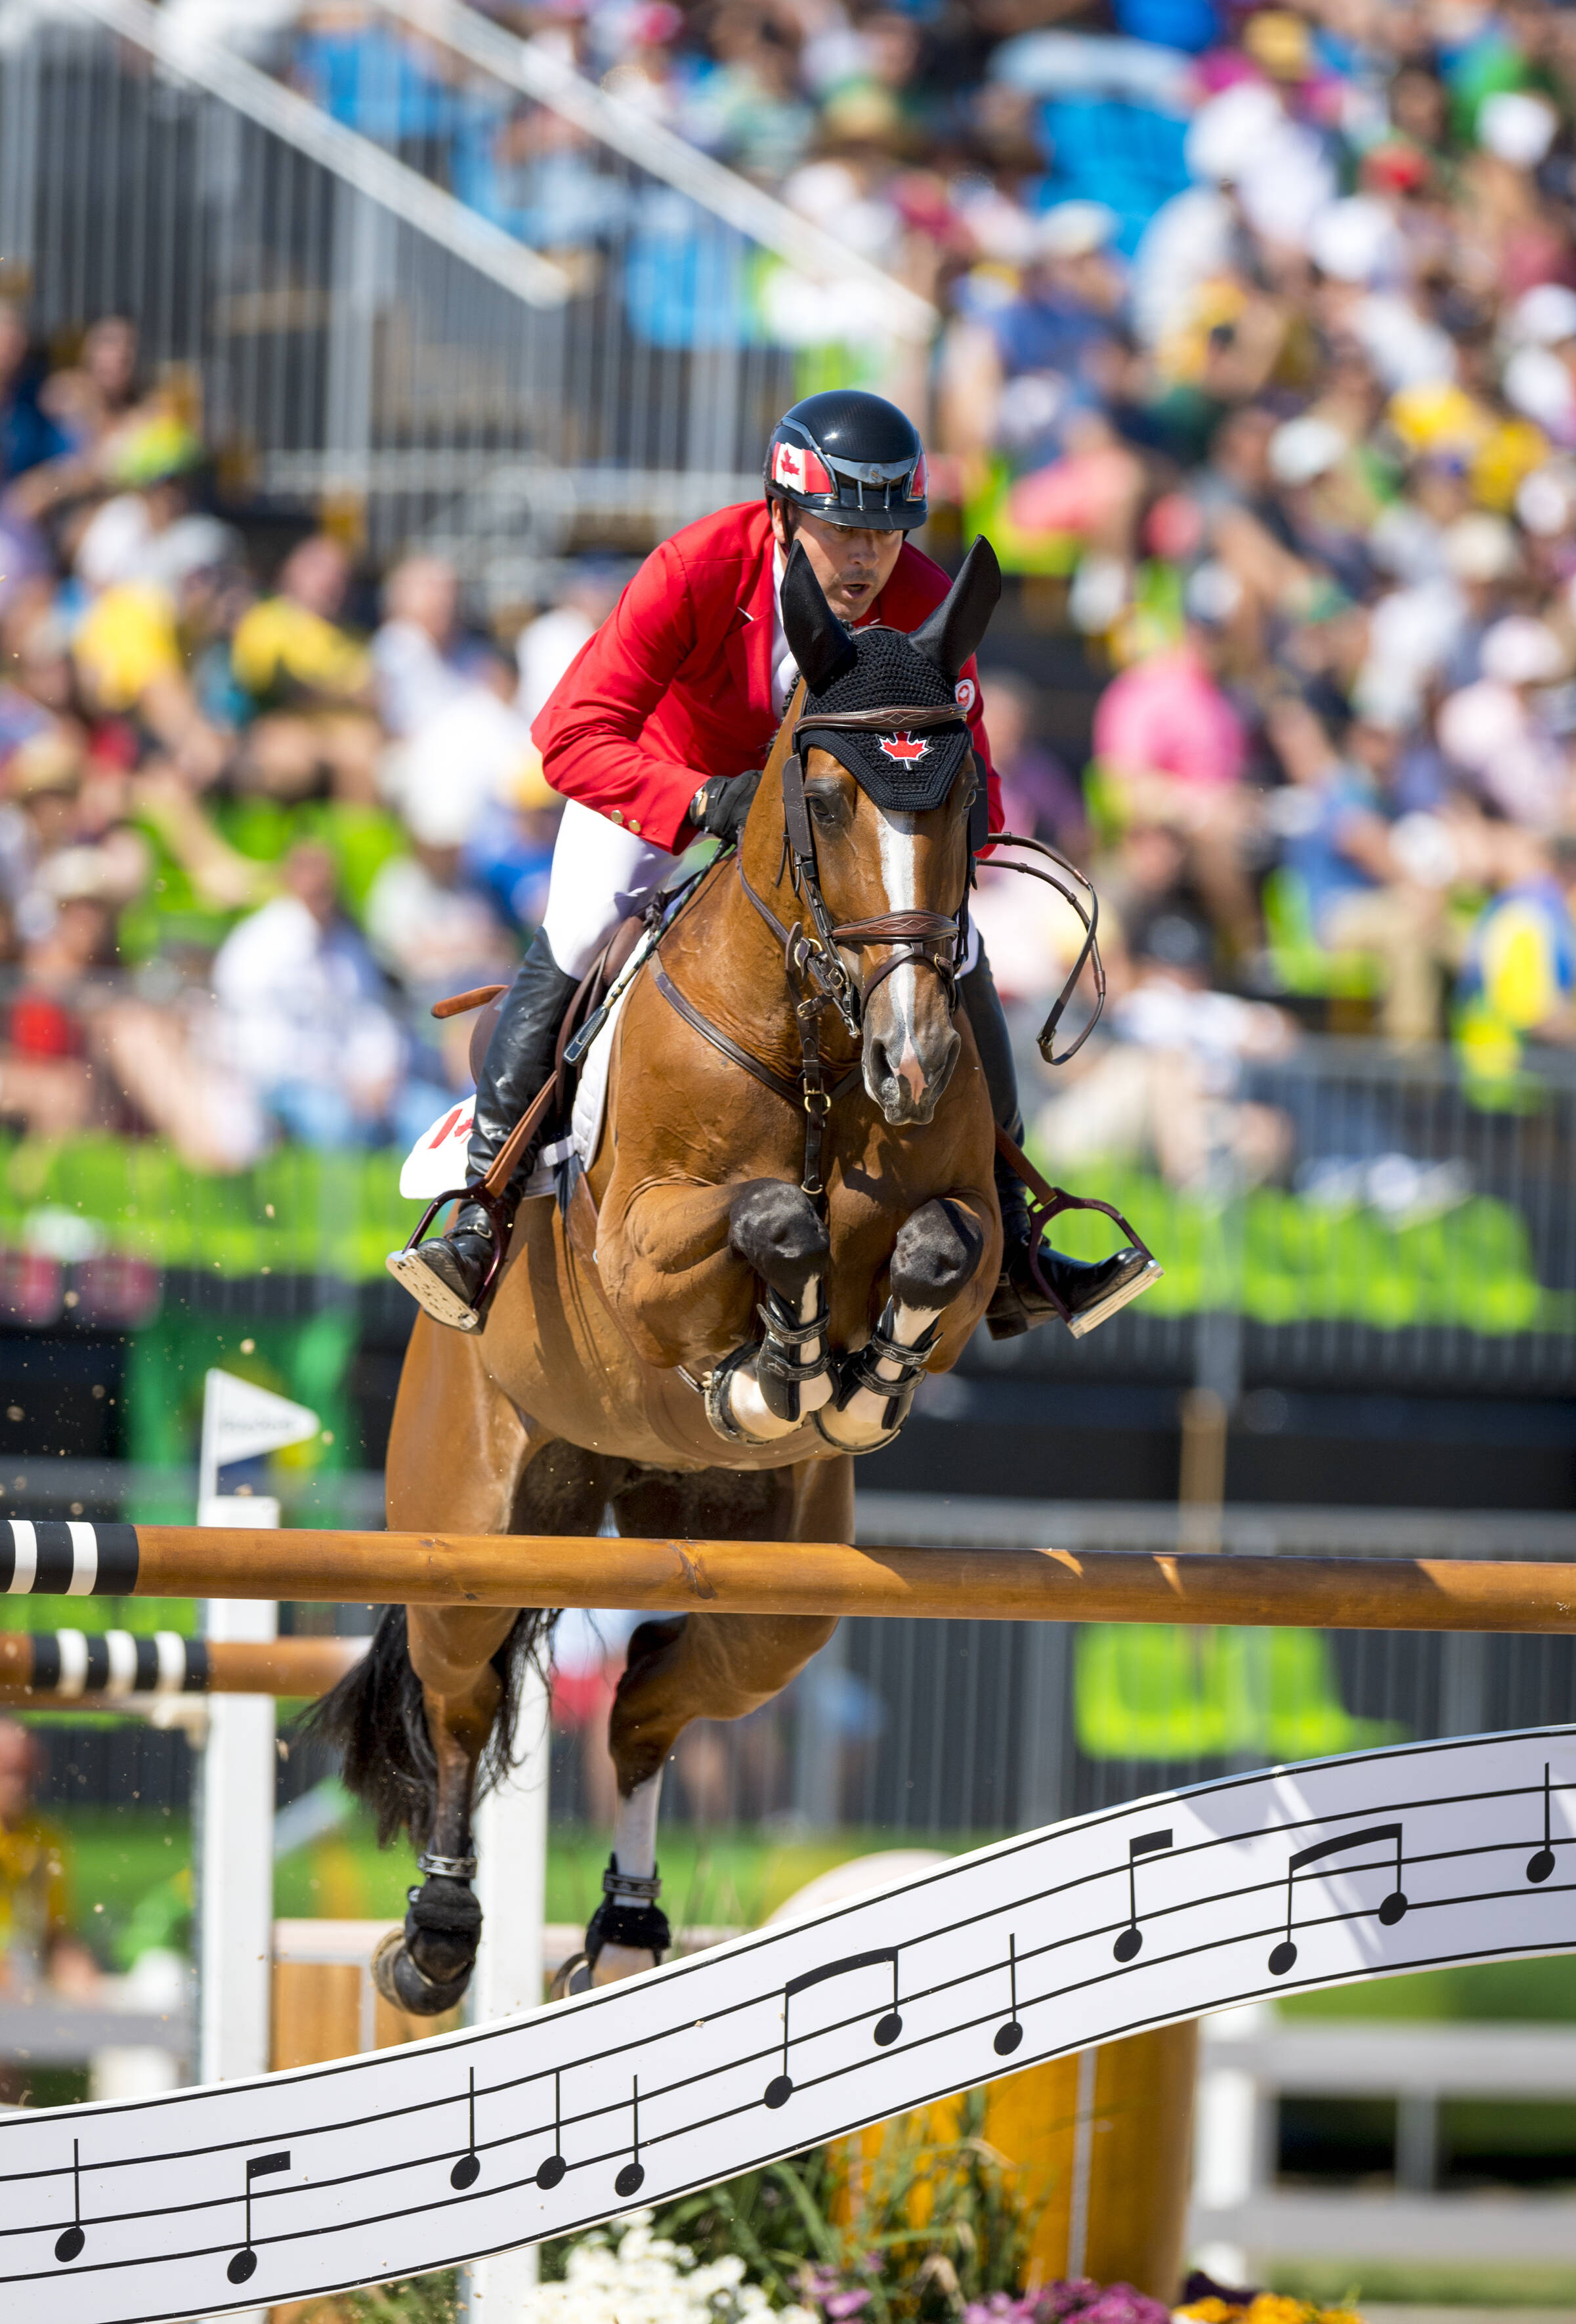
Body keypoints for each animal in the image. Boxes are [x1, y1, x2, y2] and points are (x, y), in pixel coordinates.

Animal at [318, 543, 1013, 2017]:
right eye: (824, 794)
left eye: (966, 796)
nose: (916, 1060)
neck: (815, 1040)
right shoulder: (640, 1249)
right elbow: (774, 1221)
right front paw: (779, 1366)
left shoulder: (969, 1237)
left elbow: (937, 1248)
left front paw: (849, 1383)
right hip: (472, 1516)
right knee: (465, 1698)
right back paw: (437, 1939)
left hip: (782, 1586)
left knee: (646, 1693)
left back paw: (631, 1927)